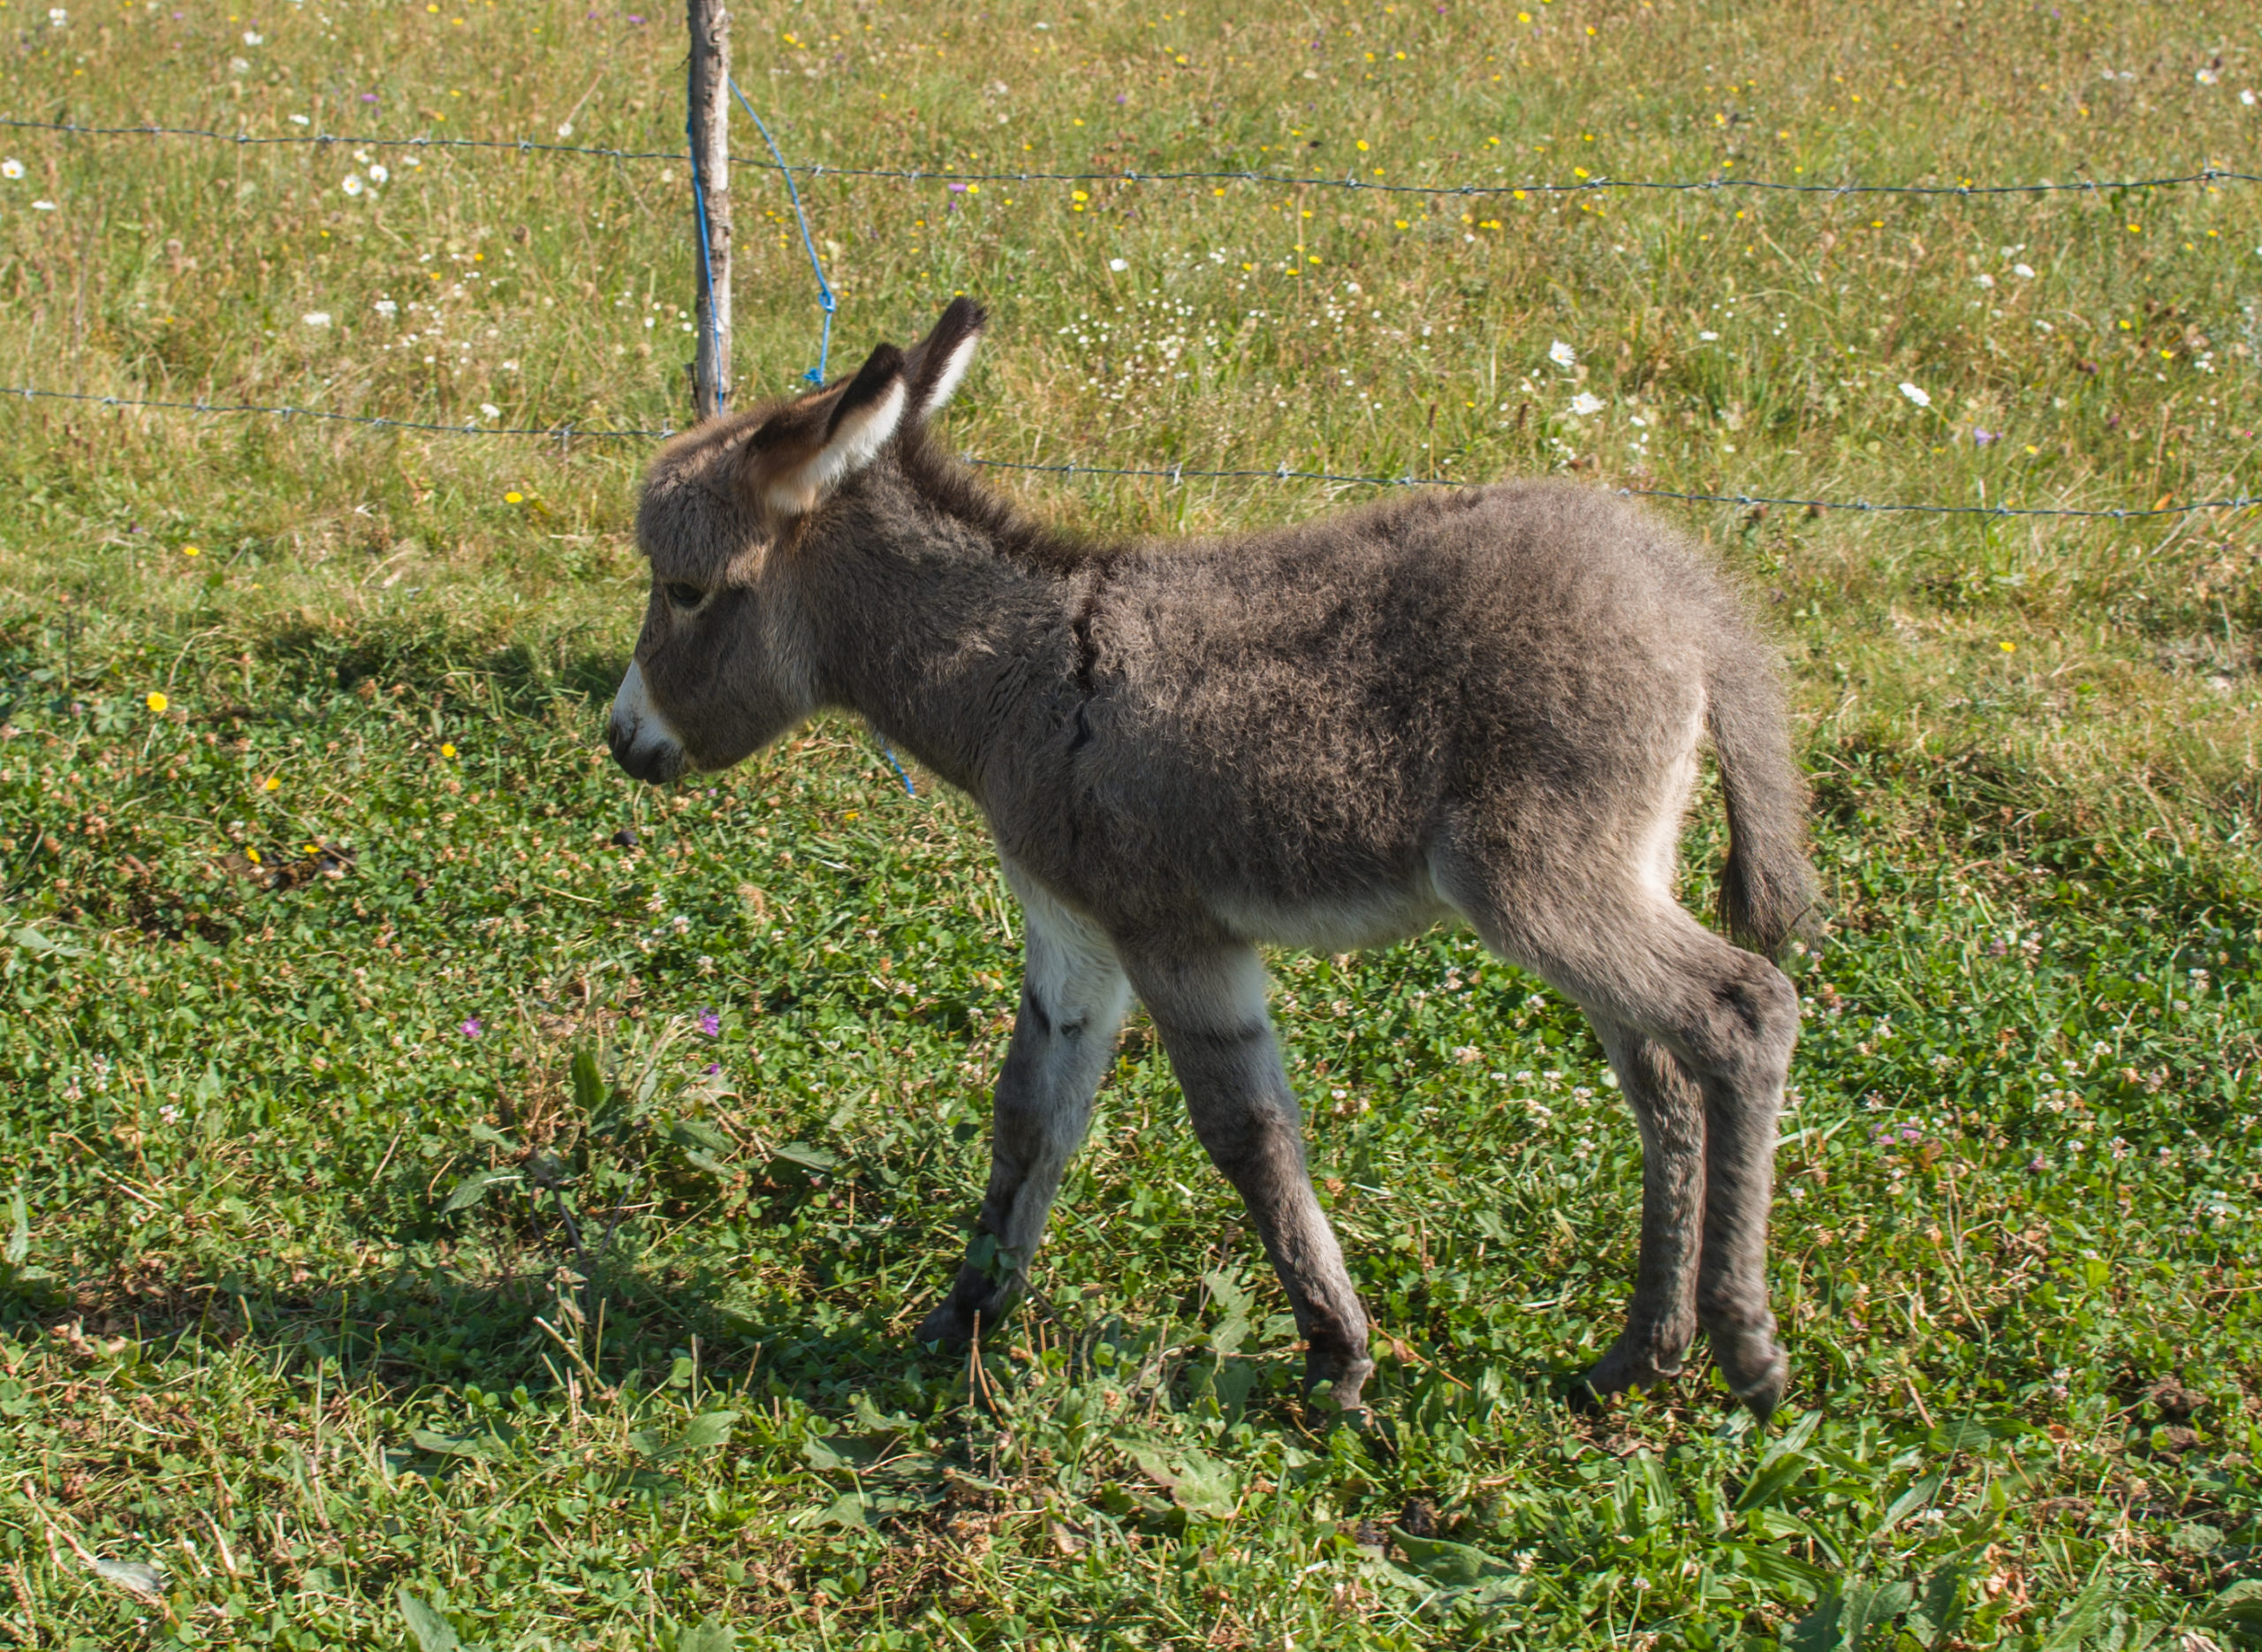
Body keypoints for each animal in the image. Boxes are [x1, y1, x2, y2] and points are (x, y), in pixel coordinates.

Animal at [611, 299, 1810, 1412]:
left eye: (684, 589)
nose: (622, 741)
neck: (1022, 678)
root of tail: (1686, 598)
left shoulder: (1174, 932)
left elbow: (1246, 1133)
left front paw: (1335, 1351)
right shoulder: (1074, 933)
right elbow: (1030, 1114)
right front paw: (968, 1310)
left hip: (1532, 880)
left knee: (1740, 1012)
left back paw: (1743, 1347)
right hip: (1619, 868)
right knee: (1663, 1074)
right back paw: (1641, 1352)